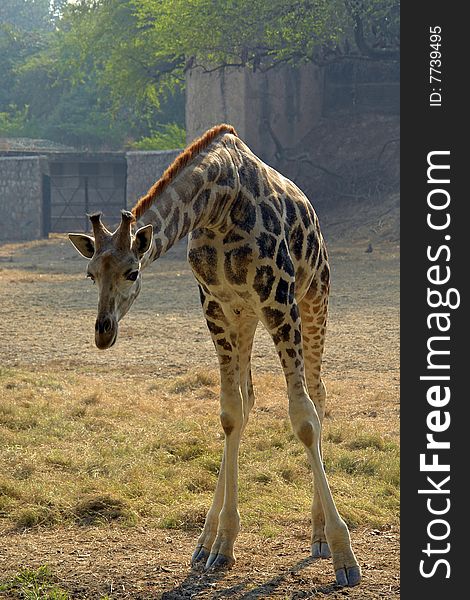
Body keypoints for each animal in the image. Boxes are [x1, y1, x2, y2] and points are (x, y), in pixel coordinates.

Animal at [68, 122, 360, 584]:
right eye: (90, 273)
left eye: (132, 271)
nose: (103, 332)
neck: (218, 205)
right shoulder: (216, 305)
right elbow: (229, 414)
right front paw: (220, 544)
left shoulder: (279, 299)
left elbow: (303, 419)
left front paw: (344, 555)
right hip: (246, 317)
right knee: (249, 399)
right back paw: (208, 540)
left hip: (315, 297)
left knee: (318, 393)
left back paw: (316, 536)